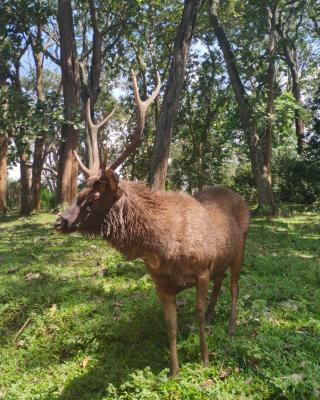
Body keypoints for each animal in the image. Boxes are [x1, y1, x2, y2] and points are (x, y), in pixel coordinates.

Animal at [55, 69, 250, 378]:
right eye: (79, 193)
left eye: (92, 196)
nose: (60, 220)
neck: (161, 248)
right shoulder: (161, 282)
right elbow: (170, 327)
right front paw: (174, 372)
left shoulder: (202, 269)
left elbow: (195, 315)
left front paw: (205, 360)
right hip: (223, 256)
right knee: (221, 283)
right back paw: (213, 315)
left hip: (241, 247)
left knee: (234, 287)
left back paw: (231, 326)